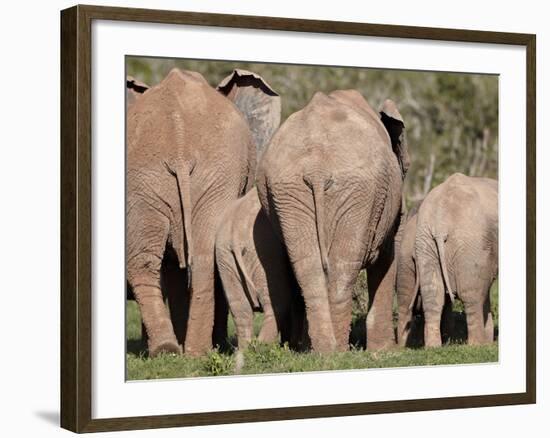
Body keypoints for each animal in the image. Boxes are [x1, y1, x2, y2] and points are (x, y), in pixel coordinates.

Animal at [126, 67, 280, 356]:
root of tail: (178, 138)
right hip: (200, 174)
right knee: (202, 256)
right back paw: (193, 351)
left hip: (151, 177)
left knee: (158, 259)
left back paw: (172, 350)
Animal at [215, 188, 306, 352]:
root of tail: (235, 234)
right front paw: (294, 347)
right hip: (264, 253)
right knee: (277, 302)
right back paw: (262, 348)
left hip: (224, 257)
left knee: (241, 310)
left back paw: (245, 352)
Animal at [258, 90, 410, 352]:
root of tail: (316, 168)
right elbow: (387, 256)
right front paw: (385, 351)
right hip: (358, 190)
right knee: (343, 264)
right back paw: (337, 350)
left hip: (287, 191)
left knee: (308, 266)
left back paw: (321, 350)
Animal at [414, 173, 500, 348]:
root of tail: (440, 224)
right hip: (470, 241)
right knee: (472, 295)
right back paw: (477, 345)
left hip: (424, 239)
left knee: (432, 294)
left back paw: (433, 347)